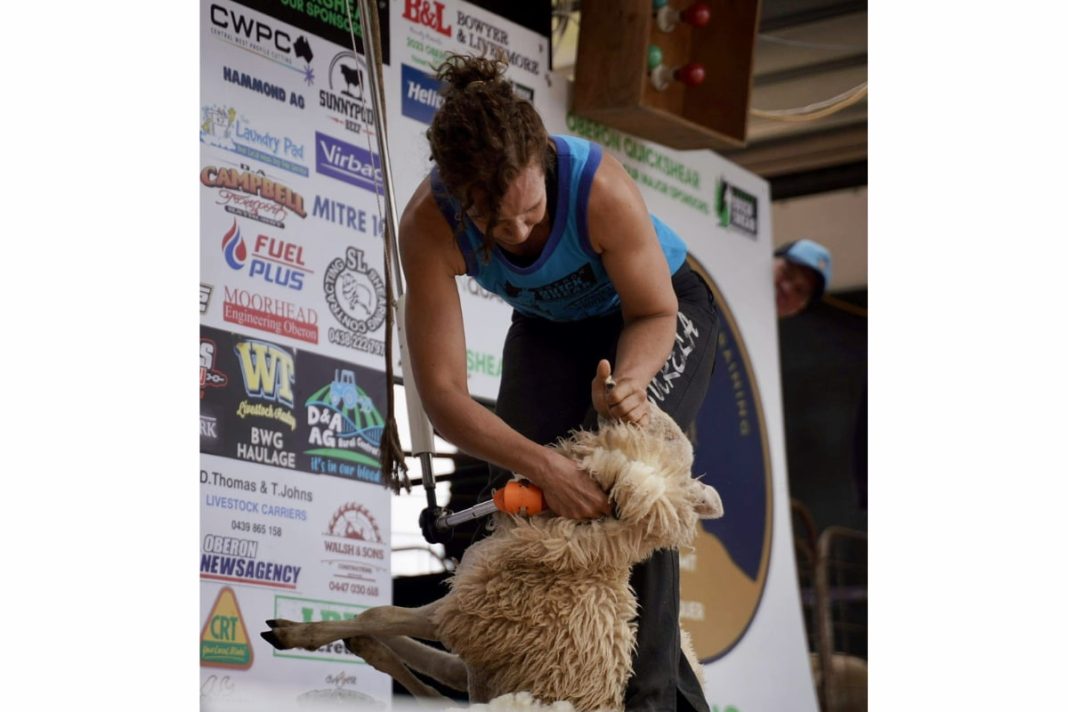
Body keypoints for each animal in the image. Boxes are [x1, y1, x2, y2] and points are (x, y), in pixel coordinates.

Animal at [261, 401, 721, 712]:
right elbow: (384, 621)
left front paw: (297, 634)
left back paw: (363, 647)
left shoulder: (471, 611)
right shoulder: (465, 609)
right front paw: (335, 631)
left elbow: (381, 613)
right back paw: (367, 647)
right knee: (441, 675)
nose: (623, 393)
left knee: (435, 690)